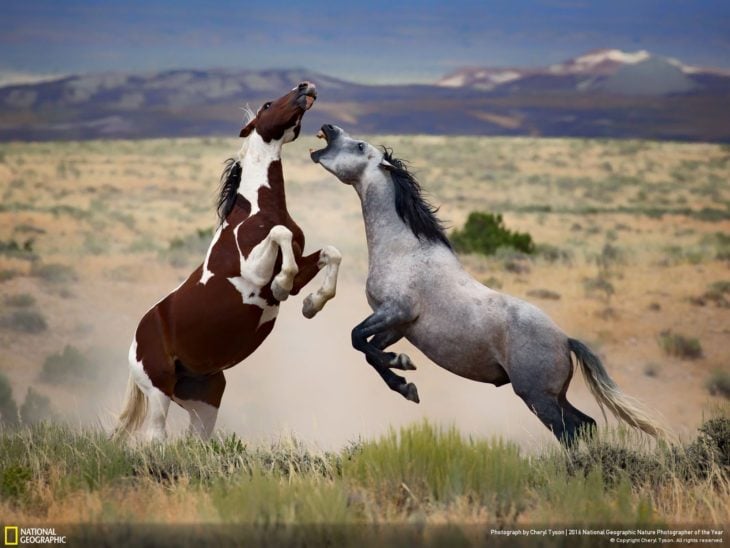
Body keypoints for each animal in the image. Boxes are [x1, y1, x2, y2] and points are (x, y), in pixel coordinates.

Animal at [114, 82, 342, 440]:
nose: (306, 86)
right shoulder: (254, 271)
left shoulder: (302, 261)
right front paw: (282, 285)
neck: (259, 210)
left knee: (195, 438)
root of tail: (134, 344)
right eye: (267, 104)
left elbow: (331, 253)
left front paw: (311, 304)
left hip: (205, 399)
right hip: (159, 390)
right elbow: (280, 237)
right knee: (155, 437)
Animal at [308, 124, 664, 446]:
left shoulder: (395, 312)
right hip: (554, 396)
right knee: (586, 424)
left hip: (538, 397)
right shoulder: (398, 326)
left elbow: (357, 338)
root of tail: (566, 341)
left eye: (359, 145)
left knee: (570, 431)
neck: (405, 250)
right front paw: (406, 384)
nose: (328, 128)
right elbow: (370, 352)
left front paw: (402, 366)